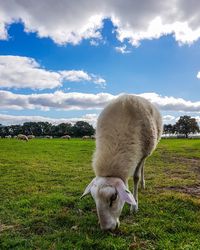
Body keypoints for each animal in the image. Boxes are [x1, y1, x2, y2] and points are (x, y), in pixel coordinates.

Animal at [81, 94, 162, 230]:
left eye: (114, 197)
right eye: (93, 198)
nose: (107, 229)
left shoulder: (140, 153)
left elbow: (135, 177)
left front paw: (134, 206)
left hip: (147, 150)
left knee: (143, 166)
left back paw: (143, 183)